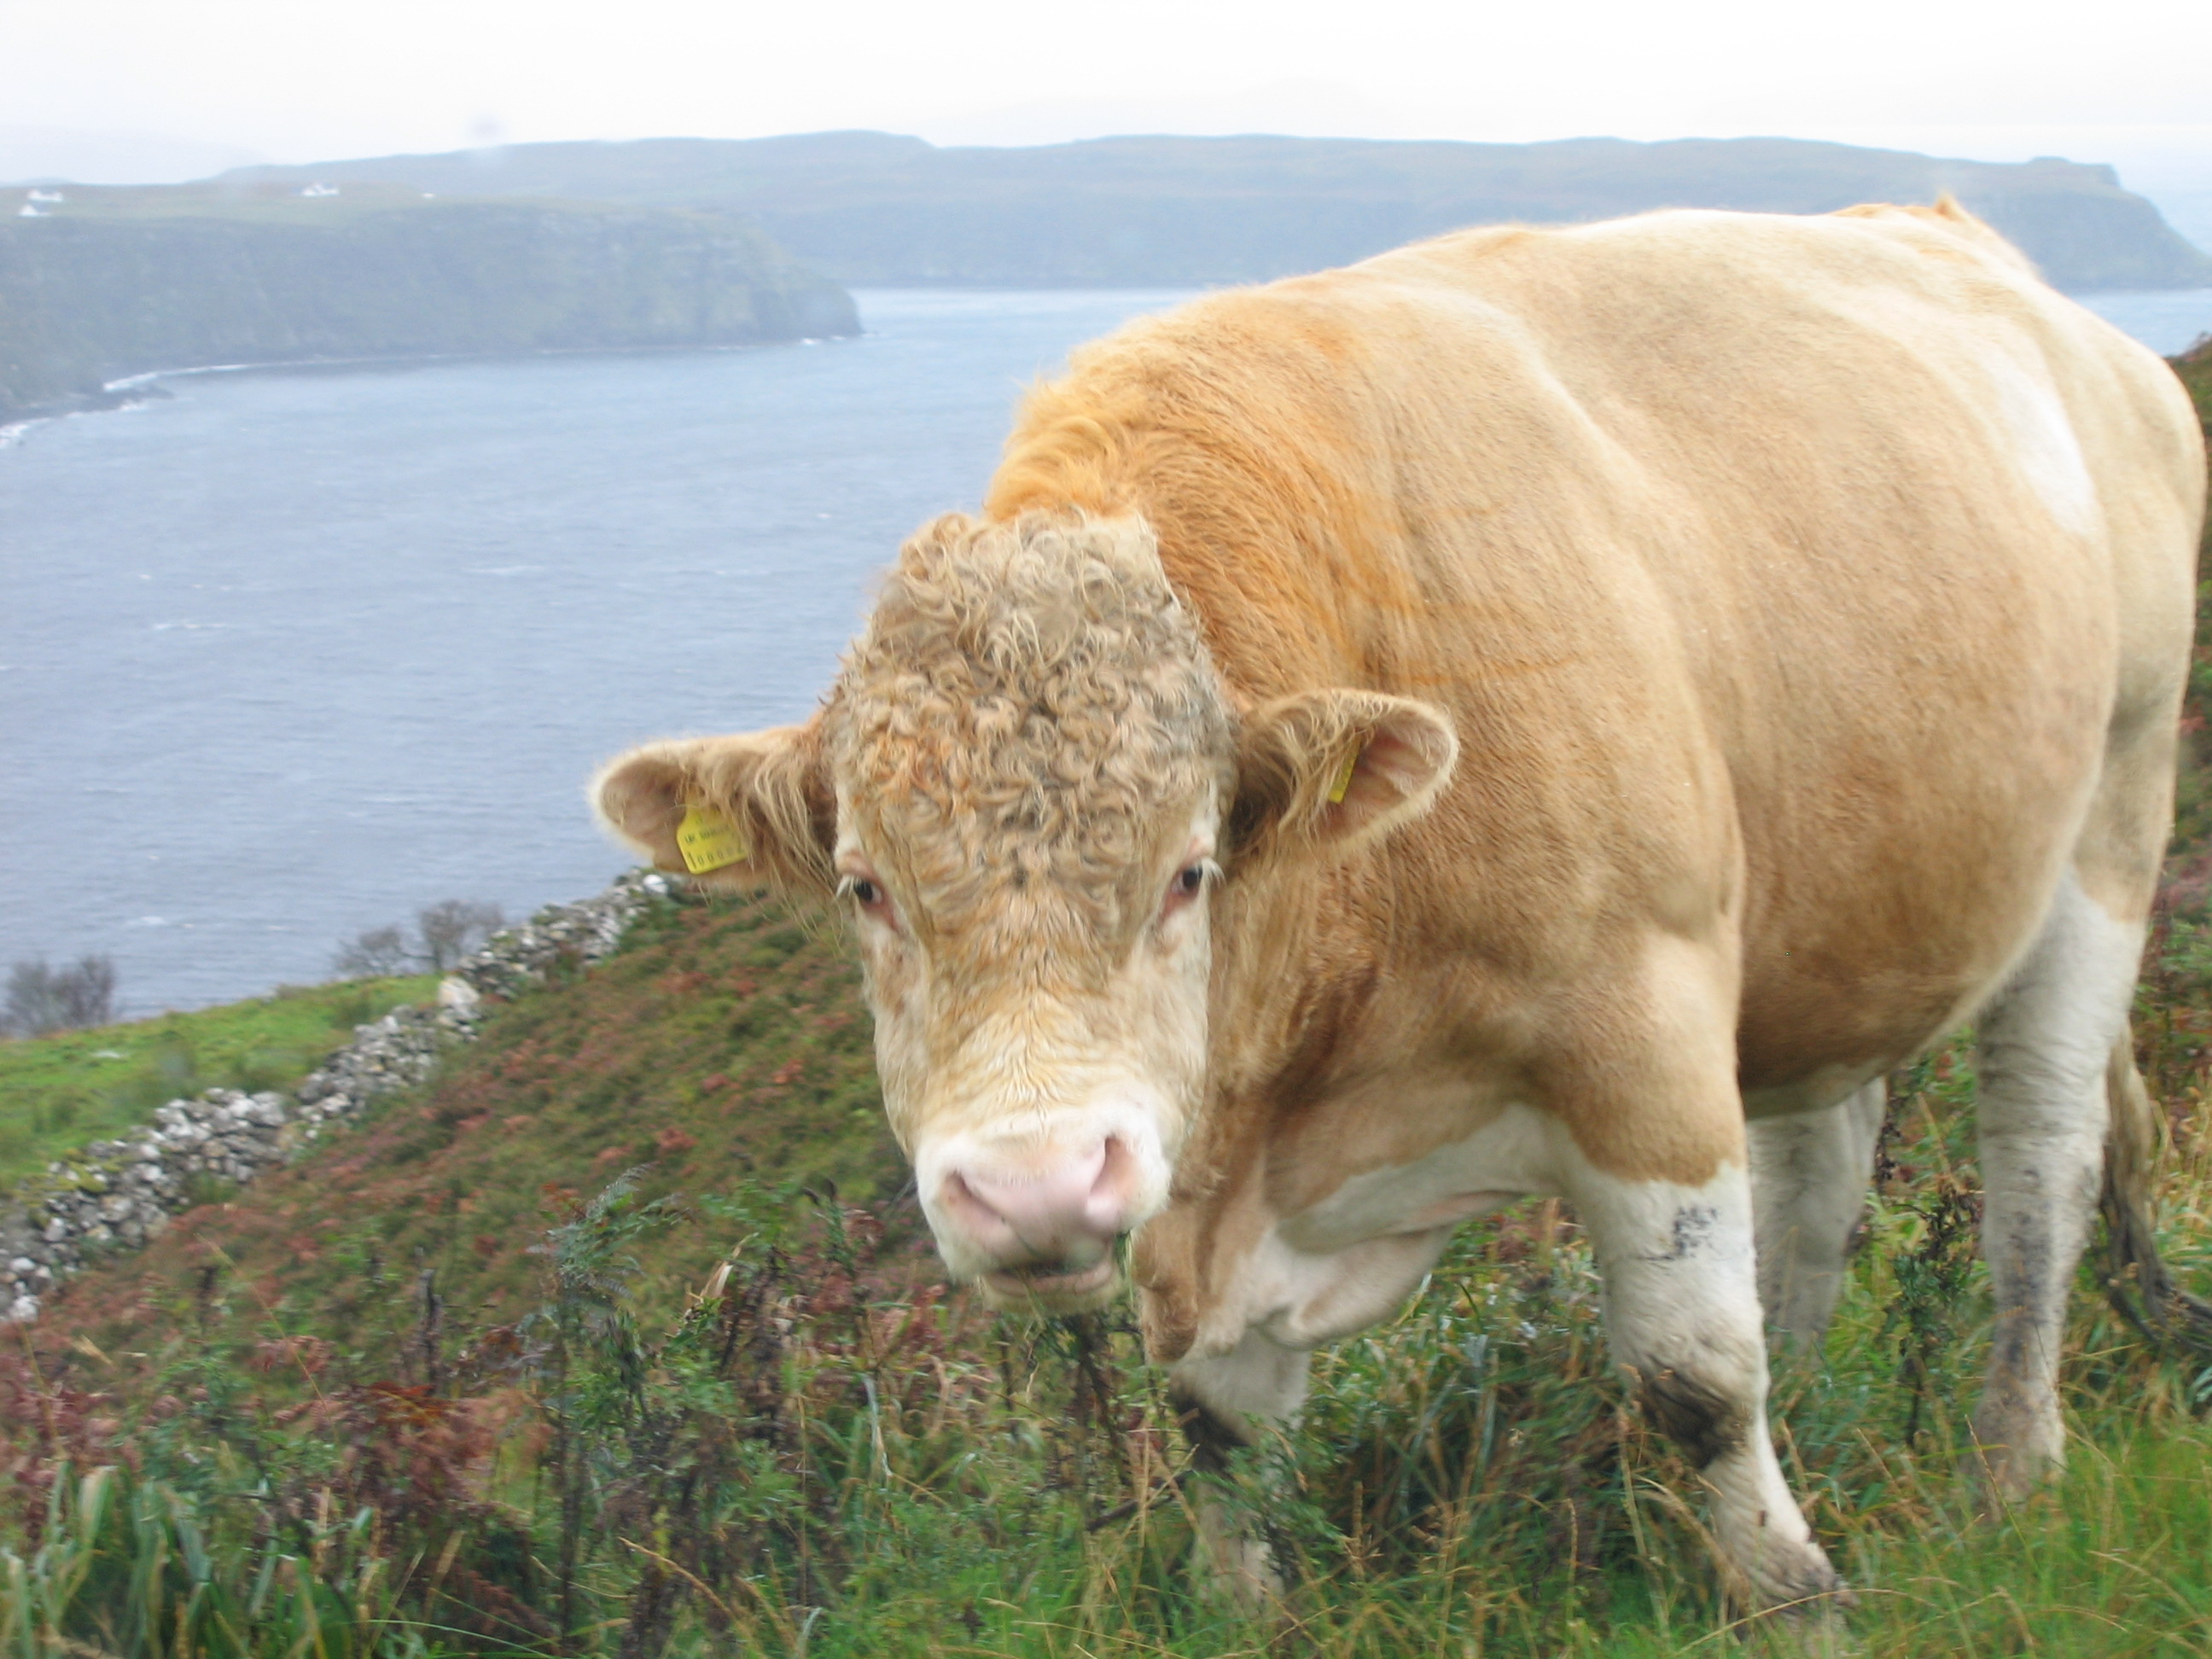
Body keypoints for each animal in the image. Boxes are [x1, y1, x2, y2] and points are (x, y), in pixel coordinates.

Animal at [597, 201, 2203, 1619]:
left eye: (1190, 867)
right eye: (865, 885)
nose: (1036, 1186)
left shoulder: (1645, 1031)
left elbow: (1693, 1371)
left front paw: (1793, 1594)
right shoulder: (1199, 1176)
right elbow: (1220, 1434)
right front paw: (1250, 1608)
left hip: (2113, 811)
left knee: (2039, 1164)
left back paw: (2009, 1462)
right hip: (1835, 917)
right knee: (1826, 1167)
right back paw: (1827, 1399)